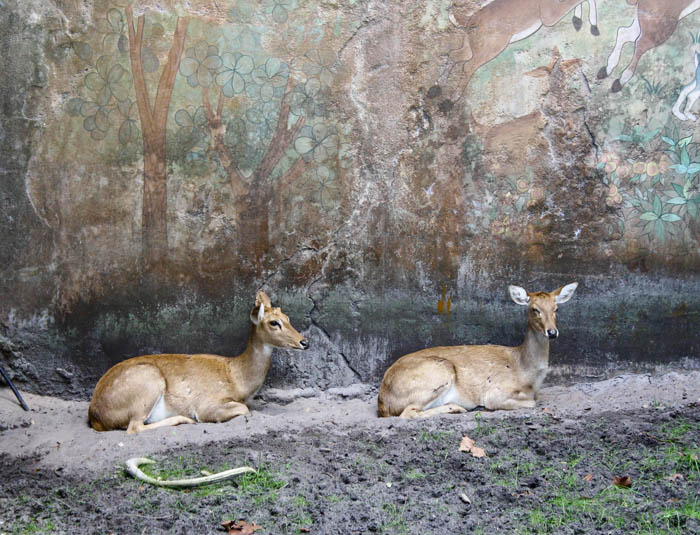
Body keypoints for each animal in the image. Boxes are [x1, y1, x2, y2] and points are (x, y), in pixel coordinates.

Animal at [89, 292, 308, 434]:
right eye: (273, 323)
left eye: (288, 317)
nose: (304, 342)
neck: (237, 378)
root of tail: (95, 416)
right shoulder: (207, 403)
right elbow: (243, 409)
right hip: (148, 381)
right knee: (133, 427)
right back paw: (184, 419)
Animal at [380, 284, 576, 418]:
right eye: (535, 309)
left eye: (556, 308)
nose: (552, 332)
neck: (525, 373)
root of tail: (383, 400)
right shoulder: (496, 392)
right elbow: (532, 402)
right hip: (437, 372)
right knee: (408, 412)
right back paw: (457, 407)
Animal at [446, 0, 600, 98]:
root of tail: (470, 21)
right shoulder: (548, 16)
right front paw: (589, 24)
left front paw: (583, 23)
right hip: (492, 48)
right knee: (468, 65)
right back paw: (454, 97)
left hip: (470, 46)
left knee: (454, 55)